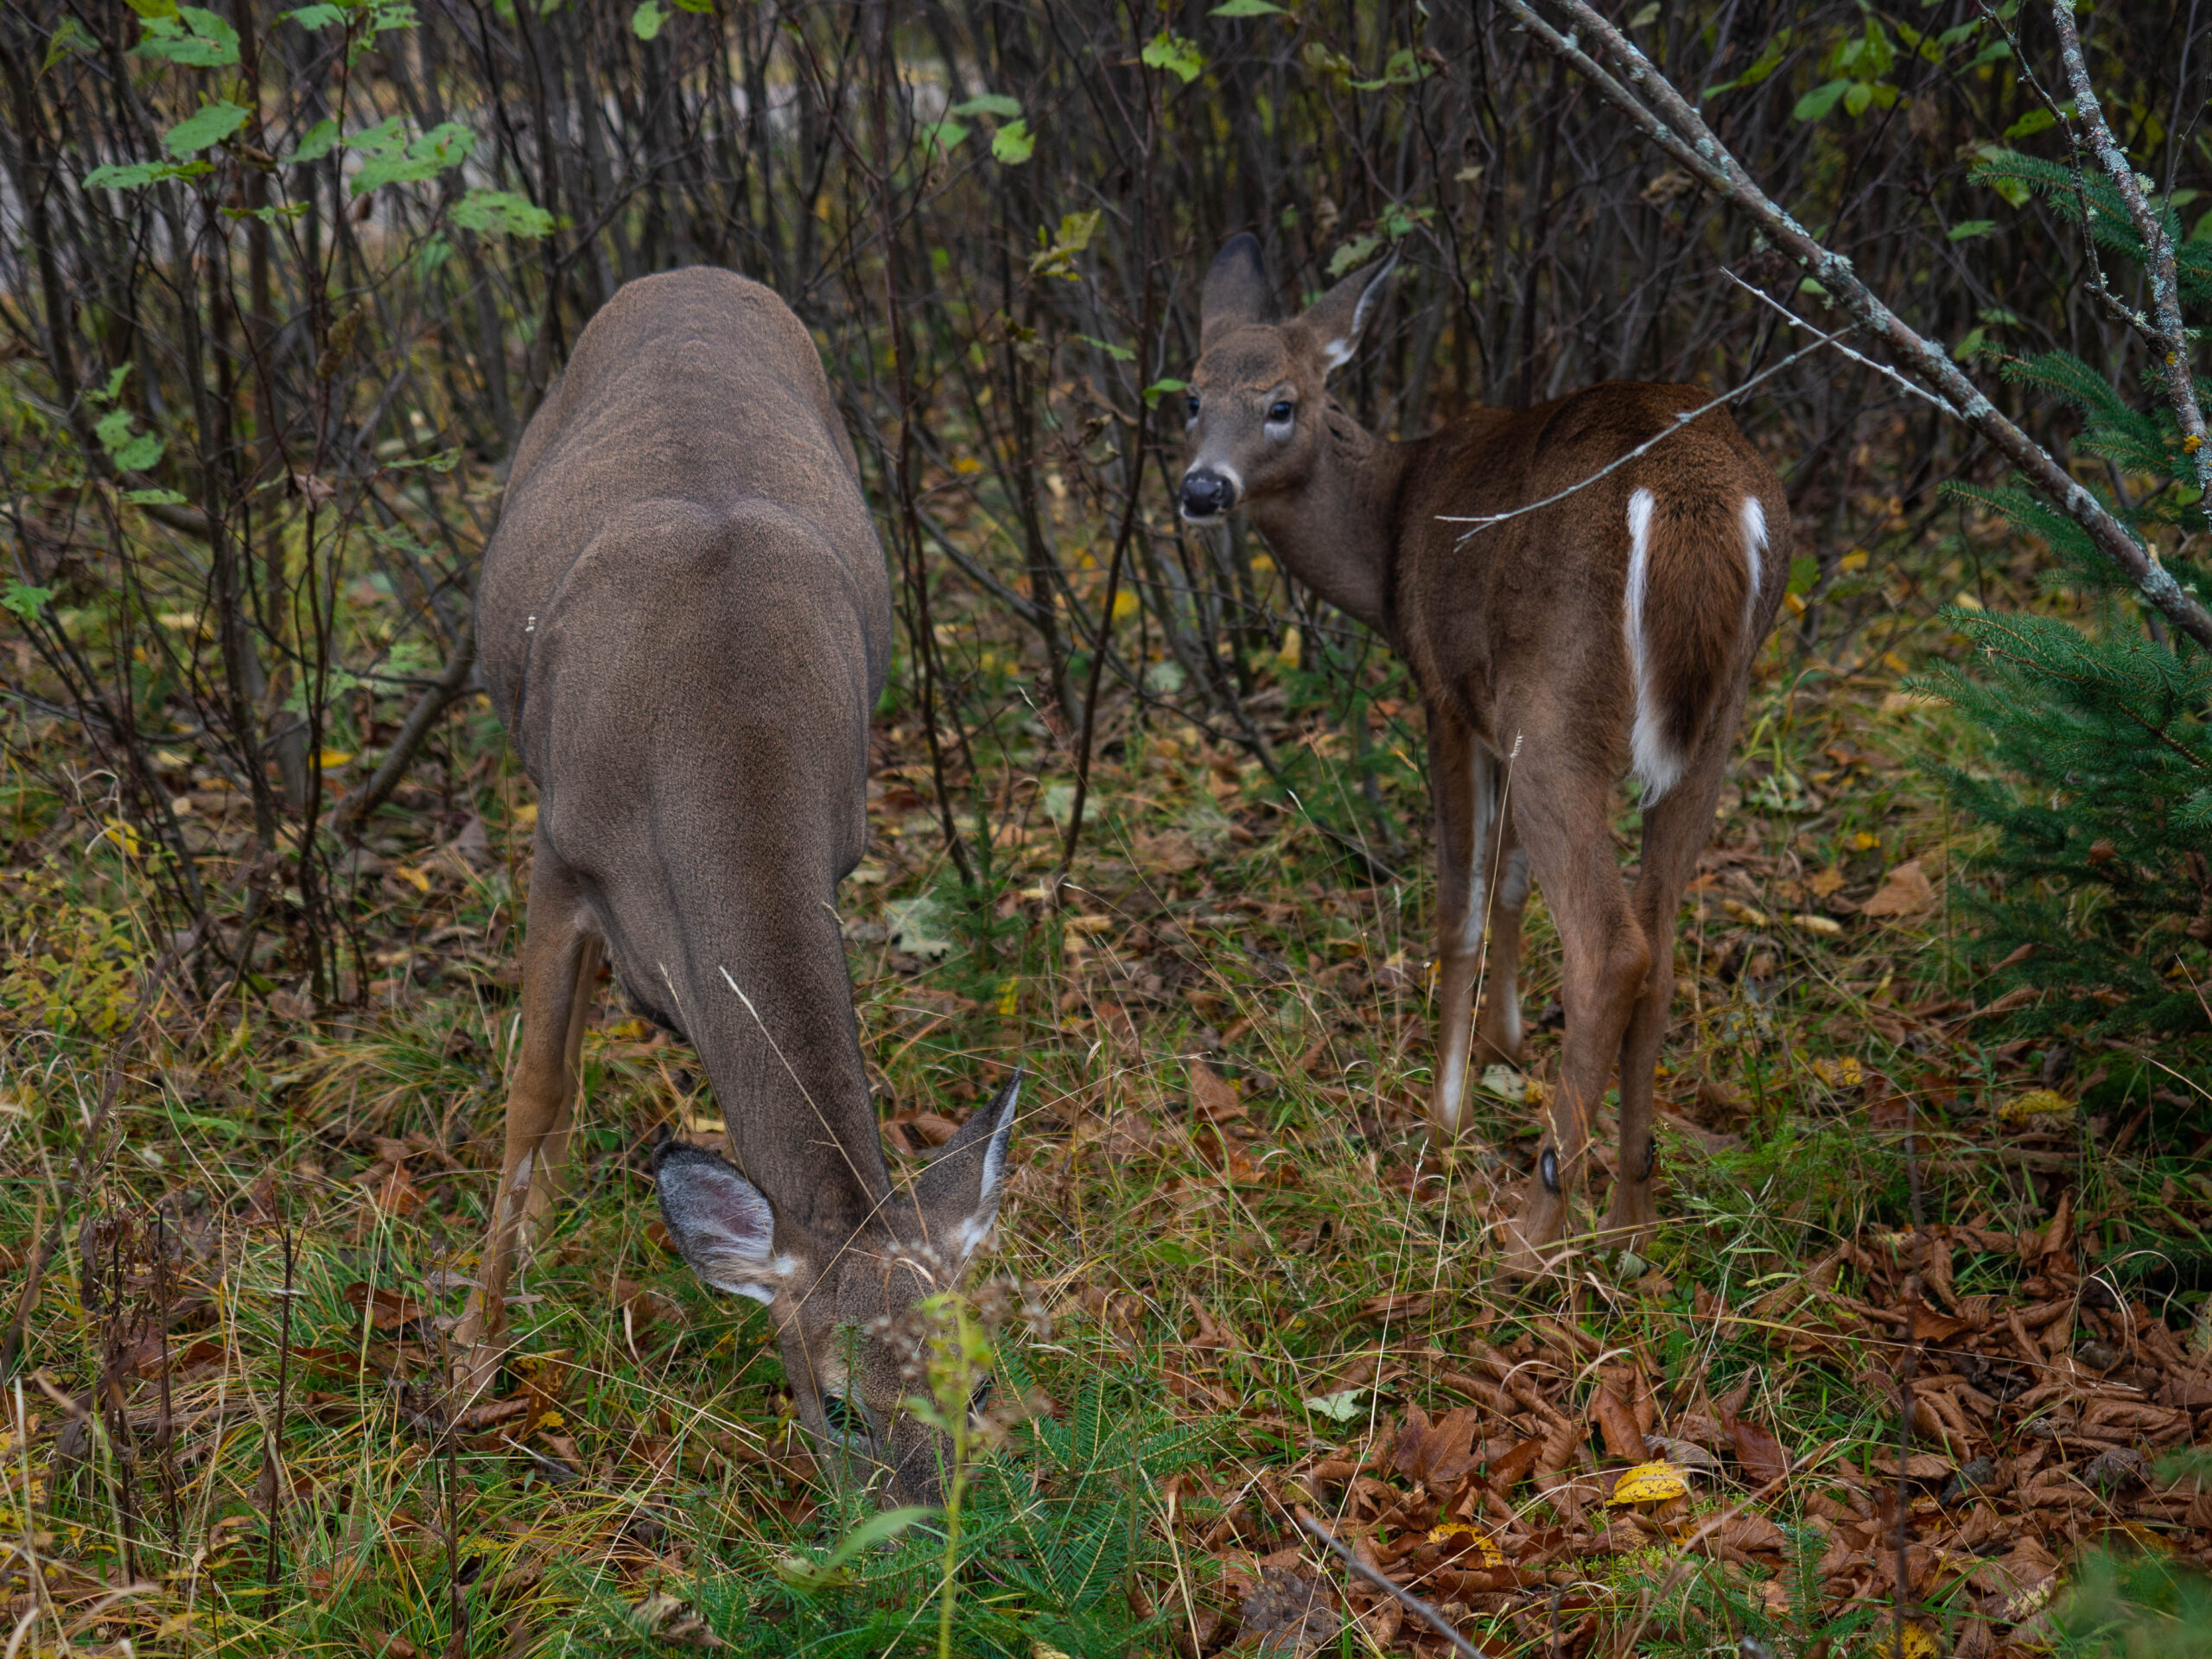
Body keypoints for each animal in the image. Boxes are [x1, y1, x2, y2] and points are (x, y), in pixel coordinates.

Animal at [460, 270, 1026, 1503]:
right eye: (838, 1407)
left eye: (980, 1386)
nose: (939, 1536)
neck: (722, 723)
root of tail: (691, 275)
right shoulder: (560, 854)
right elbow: (531, 1095)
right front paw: (469, 1357)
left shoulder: (838, 845)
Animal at [1176, 234, 1778, 1282]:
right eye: (1190, 396)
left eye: (1281, 402)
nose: (1201, 489)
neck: (1389, 531)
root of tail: (1693, 504)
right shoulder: (1497, 717)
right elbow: (1510, 885)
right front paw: (1503, 1045)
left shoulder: (1446, 694)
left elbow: (1460, 903)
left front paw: (1445, 1113)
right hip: (1710, 722)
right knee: (1659, 941)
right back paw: (1630, 1221)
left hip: (1561, 701)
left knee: (1612, 946)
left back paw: (1534, 1233)